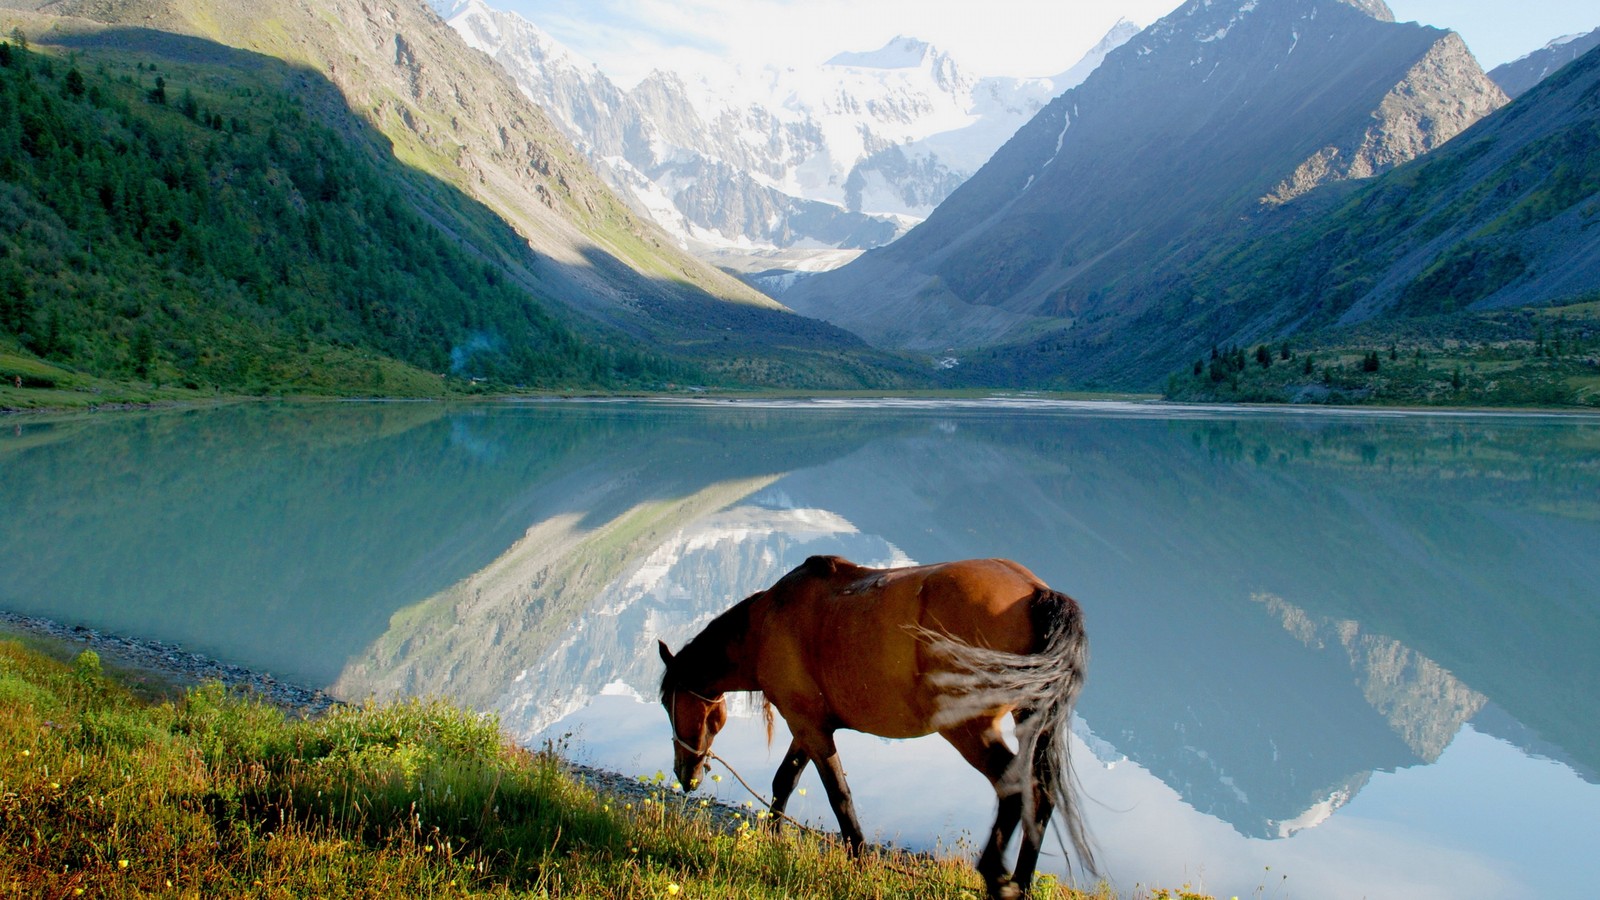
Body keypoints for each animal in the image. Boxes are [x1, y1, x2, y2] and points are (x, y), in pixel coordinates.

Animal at [656, 554, 1094, 896]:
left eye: (665, 701)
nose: (685, 775)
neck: (767, 624)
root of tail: (1035, 592)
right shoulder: (808, 725)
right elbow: (786, 780)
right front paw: (773, 837)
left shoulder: (809, 726)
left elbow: (837, 794)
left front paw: (857, 859)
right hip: (1028, 719)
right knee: (1041, 793)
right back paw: (1020, 884)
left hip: (969, 728)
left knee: (1014, 787)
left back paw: (995, 876)